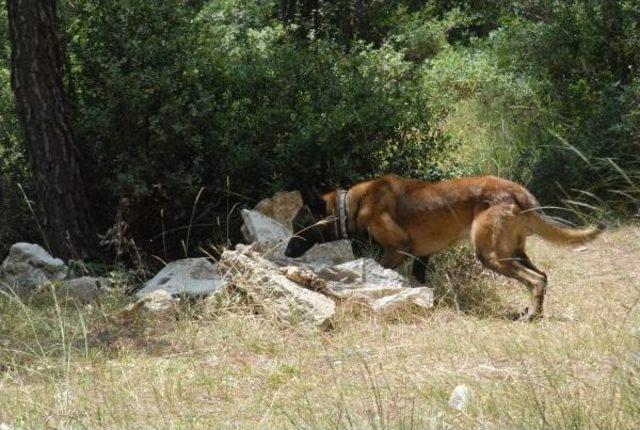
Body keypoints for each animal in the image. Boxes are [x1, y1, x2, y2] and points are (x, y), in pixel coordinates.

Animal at [284, 174, 600, 320]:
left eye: (299, 224)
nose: (286, 252)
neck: (353, 204)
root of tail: (517, 190)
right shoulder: (422, 256)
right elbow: (420, 282)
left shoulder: (397, 248)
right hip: (514, 251)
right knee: (543, 276)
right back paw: (536, 313)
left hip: (491, 255)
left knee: (535, 280)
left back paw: (530, 317)